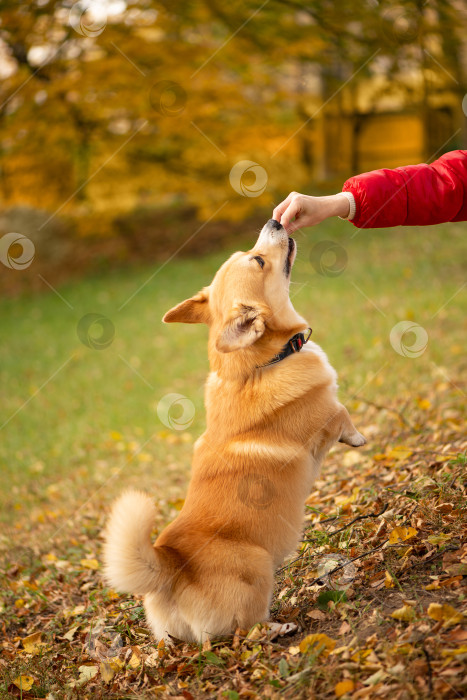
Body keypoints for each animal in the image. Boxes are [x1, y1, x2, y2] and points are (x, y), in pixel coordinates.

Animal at [103, 219, 366, 640]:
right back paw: (280, 626)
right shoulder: (324, 420)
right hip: (258, 566)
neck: (259, 365)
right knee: (247, 630)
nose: (274, 221)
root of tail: (171, 566)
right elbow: (341, 413)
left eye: (250, 253)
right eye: (258, 260)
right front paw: (357, 437)